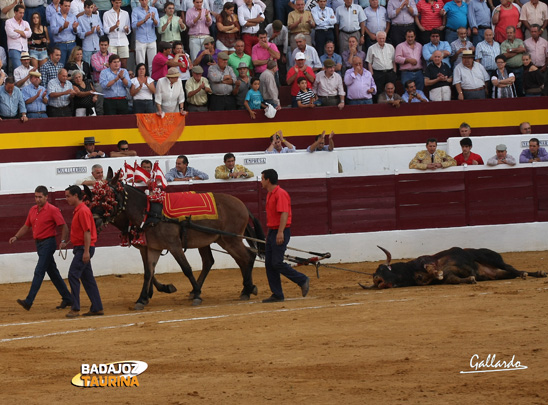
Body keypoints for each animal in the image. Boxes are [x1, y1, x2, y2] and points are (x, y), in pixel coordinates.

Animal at [86, 169, 264, 308]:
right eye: (94, 197)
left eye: (108, 197)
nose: (94, 219)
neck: (150, 212)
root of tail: (242, 205)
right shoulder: (152, 247)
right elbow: (148, 272)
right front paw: (143, 298)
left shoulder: (173, 246)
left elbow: (186, 268)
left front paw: (197, 294)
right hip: (221, 240)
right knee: (232, 260)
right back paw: (246, 289)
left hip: (231, 240)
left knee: (247, 257)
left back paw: (247, 289)